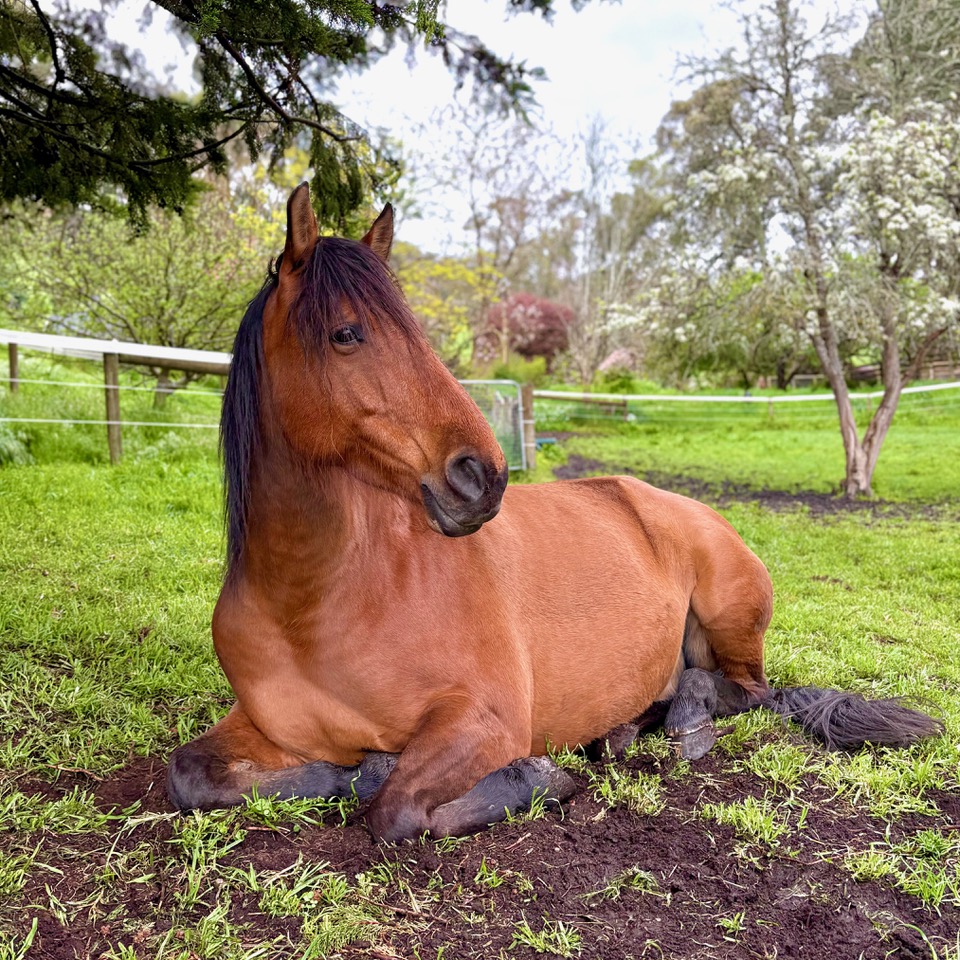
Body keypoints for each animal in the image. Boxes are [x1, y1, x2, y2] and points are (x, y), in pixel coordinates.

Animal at [166, 183, 942, 843]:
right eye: (347, 334)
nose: (482, 476)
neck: (317, 604)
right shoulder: (261, 726)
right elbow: (190, 774)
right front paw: (344, 773)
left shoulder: (482, 722)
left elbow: (395, 809)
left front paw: (534, 776)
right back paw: (626, 728)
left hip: (731, 620)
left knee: (745, 690)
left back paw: (683, 721)